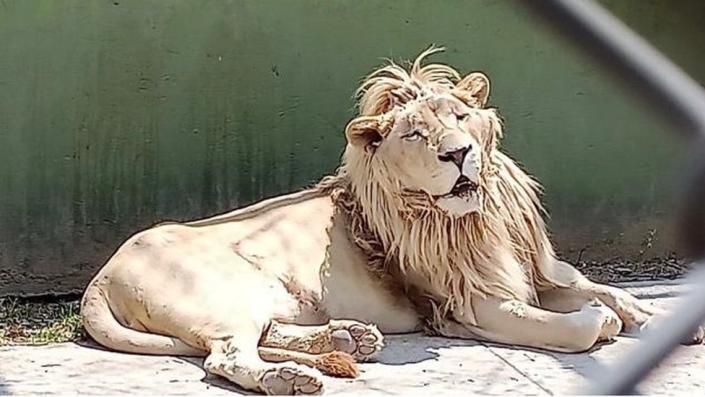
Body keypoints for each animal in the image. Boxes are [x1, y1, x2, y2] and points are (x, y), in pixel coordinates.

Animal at [81, 48, 700, 394]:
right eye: (415, 134)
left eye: (461, 117)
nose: (458, 154)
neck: (478, 217)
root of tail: (101, 276)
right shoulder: (474, 308)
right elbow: (580, 326)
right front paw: (603, 322)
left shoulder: (542, 273)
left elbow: (610, 292)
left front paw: (655, 317)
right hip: (225, 290)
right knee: (227, 354)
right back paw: (291, 379)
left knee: (260, 335)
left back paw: (348, 338)